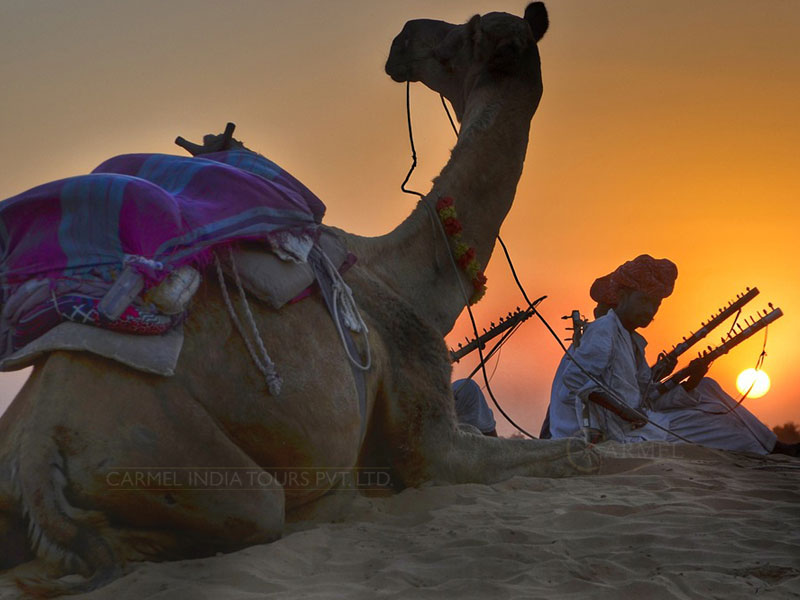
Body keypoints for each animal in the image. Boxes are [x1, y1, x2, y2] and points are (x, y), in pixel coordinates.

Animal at [0, 3, 592, 596]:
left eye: (468, 30)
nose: (404, 37)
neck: (409, 278)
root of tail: (36, 444)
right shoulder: (433, 442)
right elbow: (581, 450)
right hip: (174, 455)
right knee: (218, 524)